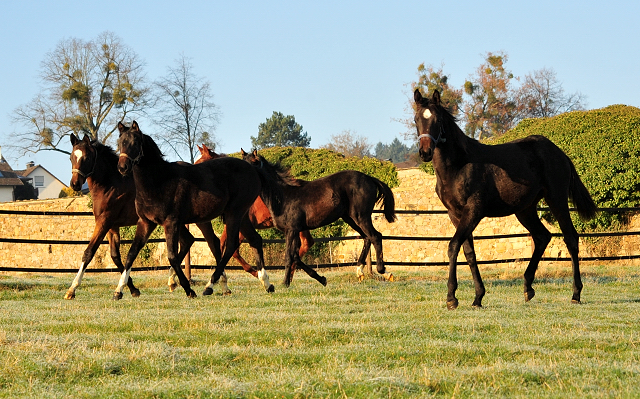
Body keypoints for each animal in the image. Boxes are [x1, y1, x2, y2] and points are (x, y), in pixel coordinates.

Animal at [65, 134, 234, 300]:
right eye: (71, 157)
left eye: (86, 157)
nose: (75, 184)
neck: (112, 184)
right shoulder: (112, 227)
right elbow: (116, 257)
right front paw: (132, 289)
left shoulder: (104, 222)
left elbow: (89, 252)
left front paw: (72, 289)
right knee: (189, 240)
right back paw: (174, 280)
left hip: (199, 221)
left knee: (213, 243)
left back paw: (220, 286)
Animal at [116, 122, 272, 300]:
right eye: (119, 142)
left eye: (135, 142)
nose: (122, 167)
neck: (159, 181)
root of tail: (253, 170)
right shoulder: (146, 223)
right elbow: (131, 254)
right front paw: (119, 290)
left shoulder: (171, 223)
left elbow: (172, 256)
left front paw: (188, 289)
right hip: (242, 216)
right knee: (254, 240)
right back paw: (266, 283)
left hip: (235, 213)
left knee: (230, 246)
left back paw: (209, 286)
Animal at [195, 145, 316, 280]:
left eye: (201, 164)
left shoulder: (241, 225)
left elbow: (233, 250)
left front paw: (256, 273)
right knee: (306, 243)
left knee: (305, 243)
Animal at [242, 148, 398, 286]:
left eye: (253, 163)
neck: (283, 195)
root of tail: (369, 178)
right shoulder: (292, 231)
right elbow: (295, 257)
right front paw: (321, 279)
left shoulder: (292, 230)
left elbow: (289, 257)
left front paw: (285, 283)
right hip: (351, 219)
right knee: (367, 238)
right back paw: (360, 271)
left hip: (361, 216)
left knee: (376, 236)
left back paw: (383, 271)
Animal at [412, 89, 596, 310]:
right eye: (416, 120)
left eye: (437, 120)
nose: (425, 152)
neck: (459, 166)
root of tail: (560, 153)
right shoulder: (455, 214)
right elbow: (469, 253)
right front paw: (478, 297)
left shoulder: (473, 211)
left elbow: (453, 246)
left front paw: (451, 298)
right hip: (525, 209)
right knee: (542, 236)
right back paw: (528, 288)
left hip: (557, 200)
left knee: (570, 238)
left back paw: (575, 293)